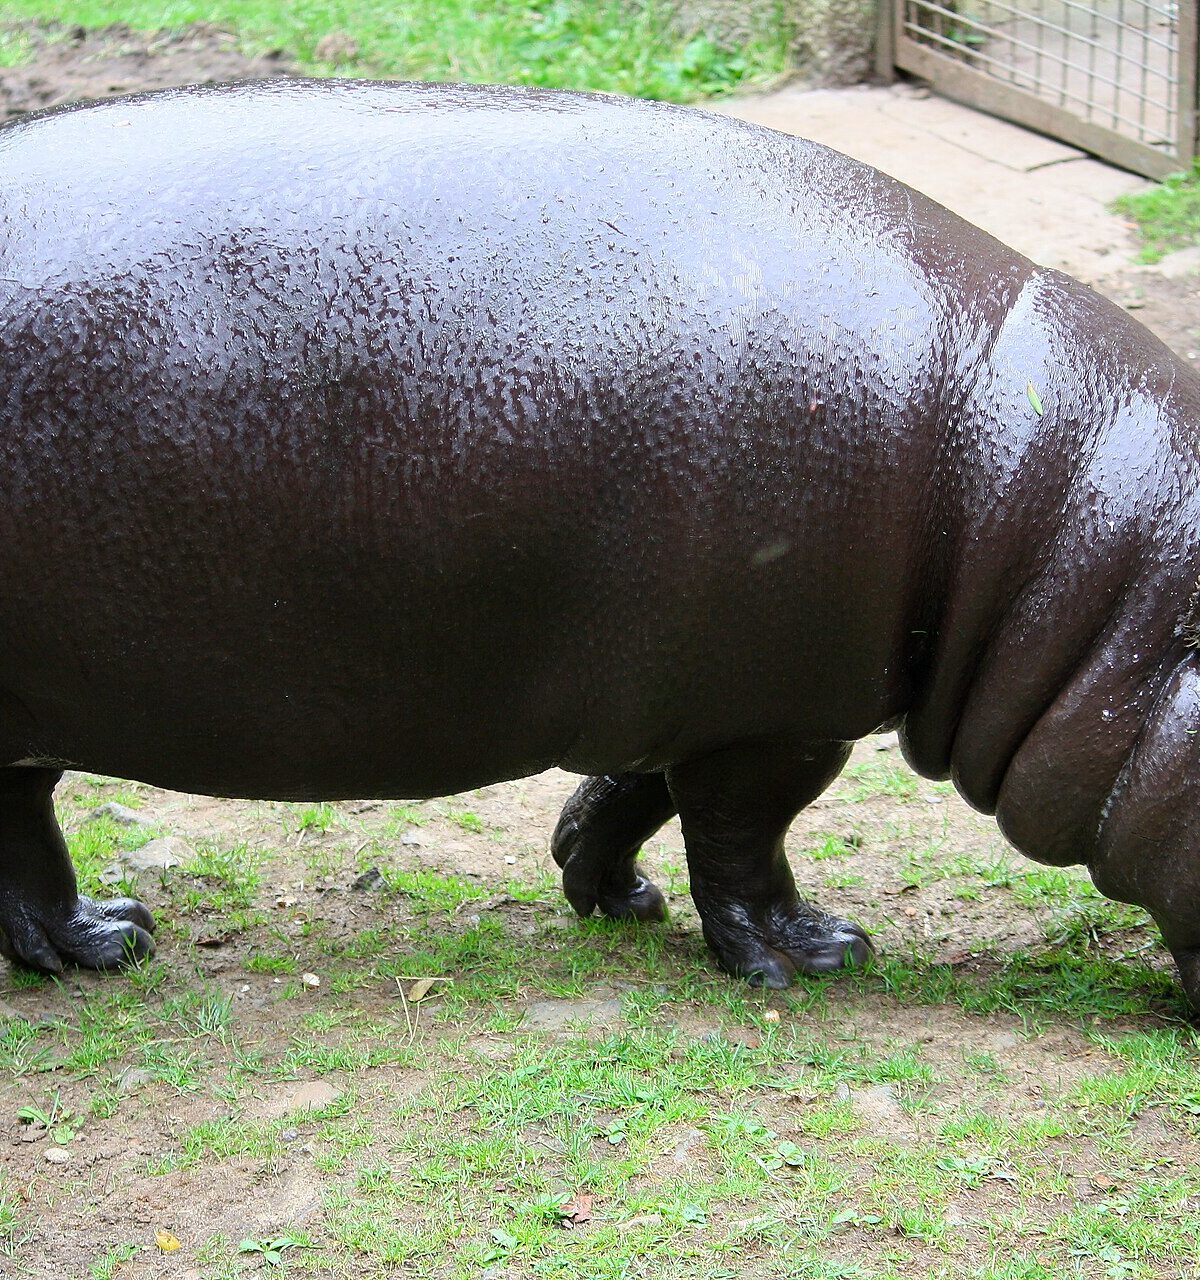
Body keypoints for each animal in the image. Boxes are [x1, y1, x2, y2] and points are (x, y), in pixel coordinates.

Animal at [2, 79, 1199, 1009]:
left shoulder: (697, 689)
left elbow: (637, 791)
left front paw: (613, 896)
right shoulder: (778, 715)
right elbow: (743, 836)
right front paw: (816, 957)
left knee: (17, 821)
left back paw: (99, 941)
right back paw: (109, 945)